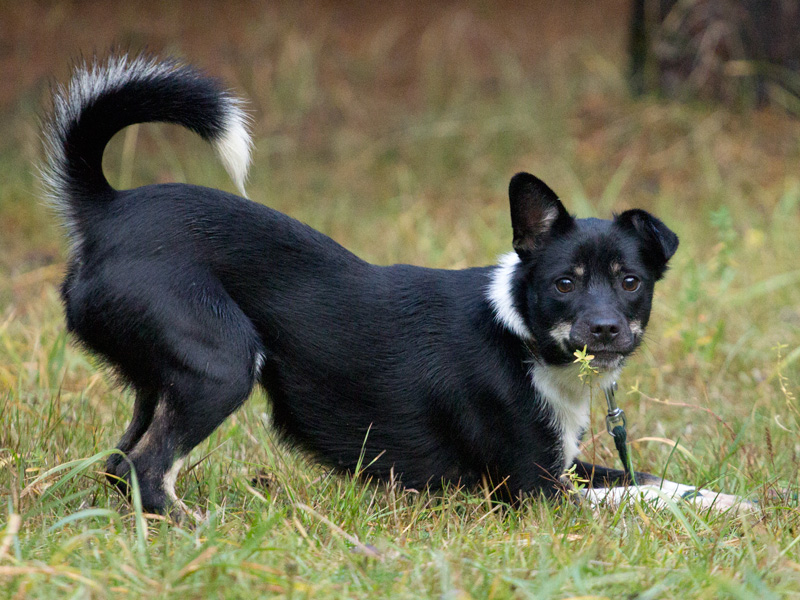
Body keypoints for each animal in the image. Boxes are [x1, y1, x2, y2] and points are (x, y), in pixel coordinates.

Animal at [43, 54, 749, 519]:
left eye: (631, 281)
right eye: (564, 282)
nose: (604, 329)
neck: (521, 336)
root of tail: (106, 210)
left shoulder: (565, 464)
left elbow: (653, 479)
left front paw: (730, 501)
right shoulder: (535, 489)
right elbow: (628, 498)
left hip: (163, 378)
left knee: (120, 466)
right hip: (221, 366)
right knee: (146, 467)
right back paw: (195, 528)